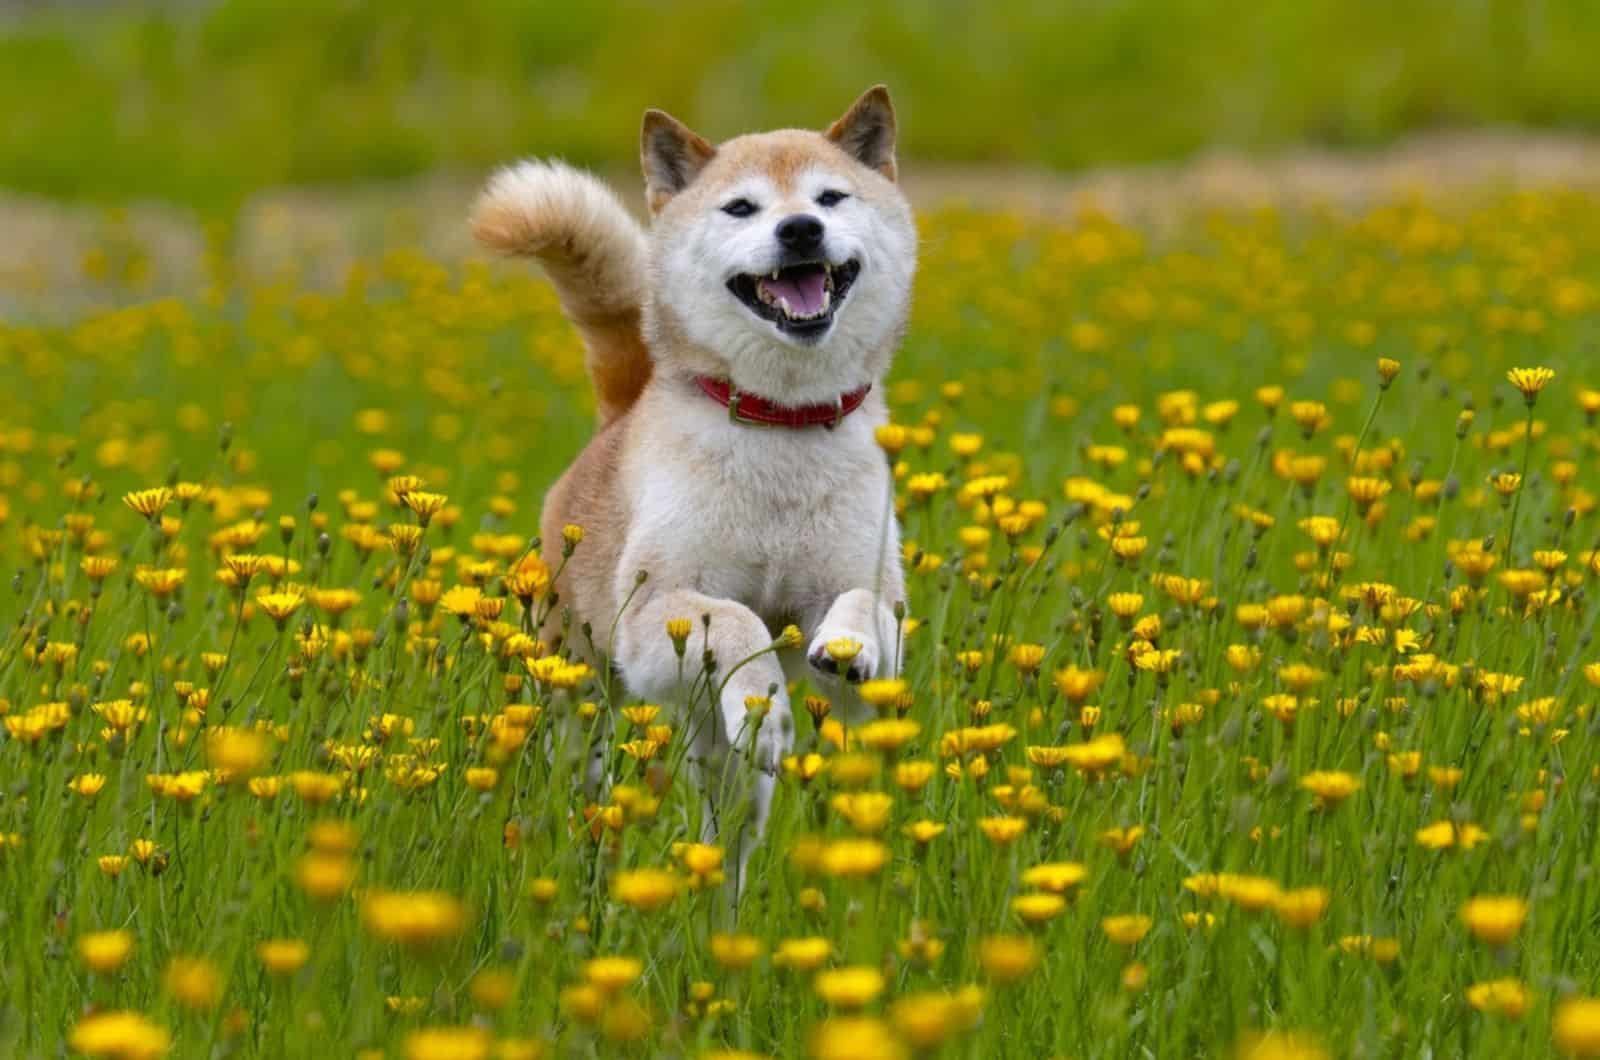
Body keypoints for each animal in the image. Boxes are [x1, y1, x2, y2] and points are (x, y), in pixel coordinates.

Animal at [467, 83, 915, 877]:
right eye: (741, 208)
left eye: (831, 197)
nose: (800, 229)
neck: (781, 424)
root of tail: (616, 416)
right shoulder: (656, 619)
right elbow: (735, 620)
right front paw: (767, 698)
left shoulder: (865, 634)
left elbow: (863, 606)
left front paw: (846, 648)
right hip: (578, 694)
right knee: (580, 776)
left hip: (721, 764)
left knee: (728, 826)